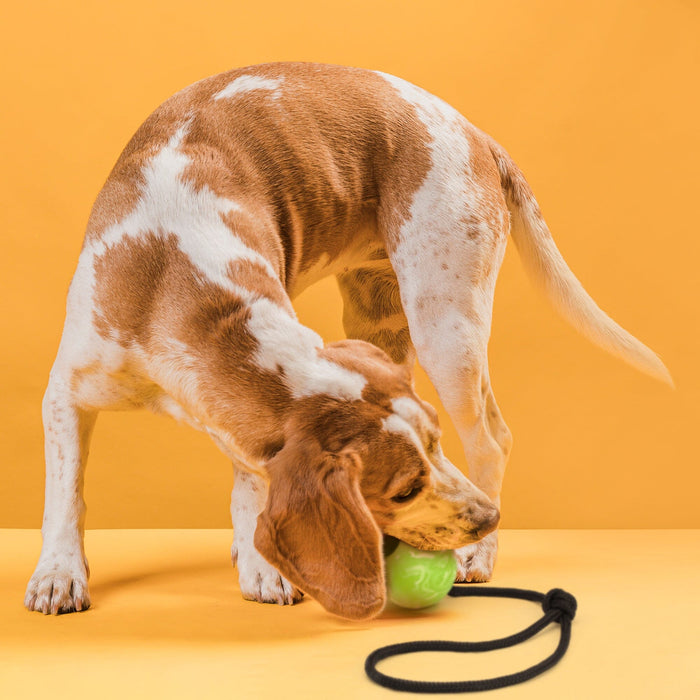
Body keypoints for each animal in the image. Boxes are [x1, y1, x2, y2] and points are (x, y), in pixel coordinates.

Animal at [26, 60, 672, 616]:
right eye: (406, 487)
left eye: (434, 445)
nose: (484, 518)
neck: (175, 277)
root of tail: (475, 134)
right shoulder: (65, 396)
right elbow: (66, 493)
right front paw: (59, 573)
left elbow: (248, 486)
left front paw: (263, 566)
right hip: (382, 324)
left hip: (446, 328)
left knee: (493, 440)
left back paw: (476, 556)